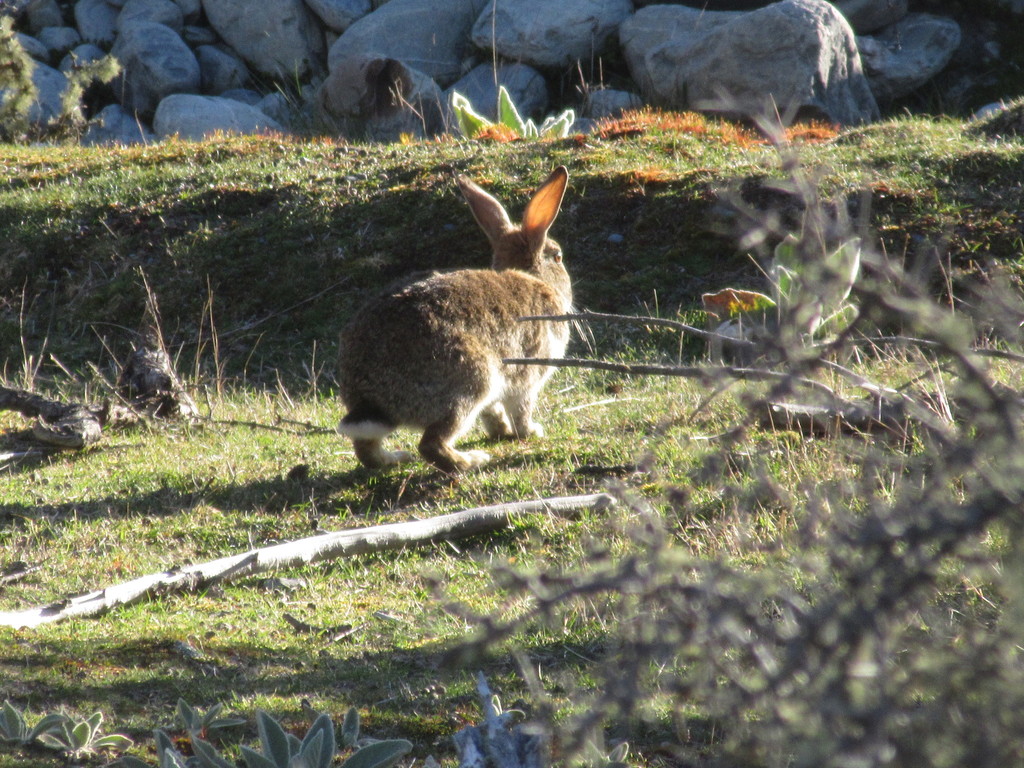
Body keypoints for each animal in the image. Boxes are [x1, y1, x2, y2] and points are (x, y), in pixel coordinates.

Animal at [336, 166, 572, 473]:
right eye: (558, 257)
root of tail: (370, 396)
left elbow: (493, 412)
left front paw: (501, 432)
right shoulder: (528, 377)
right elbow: (521, 409)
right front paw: (530, 431)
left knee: (366, 450)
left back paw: (395, 458)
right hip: (471, 382)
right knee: (432, 444)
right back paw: (471, 460)